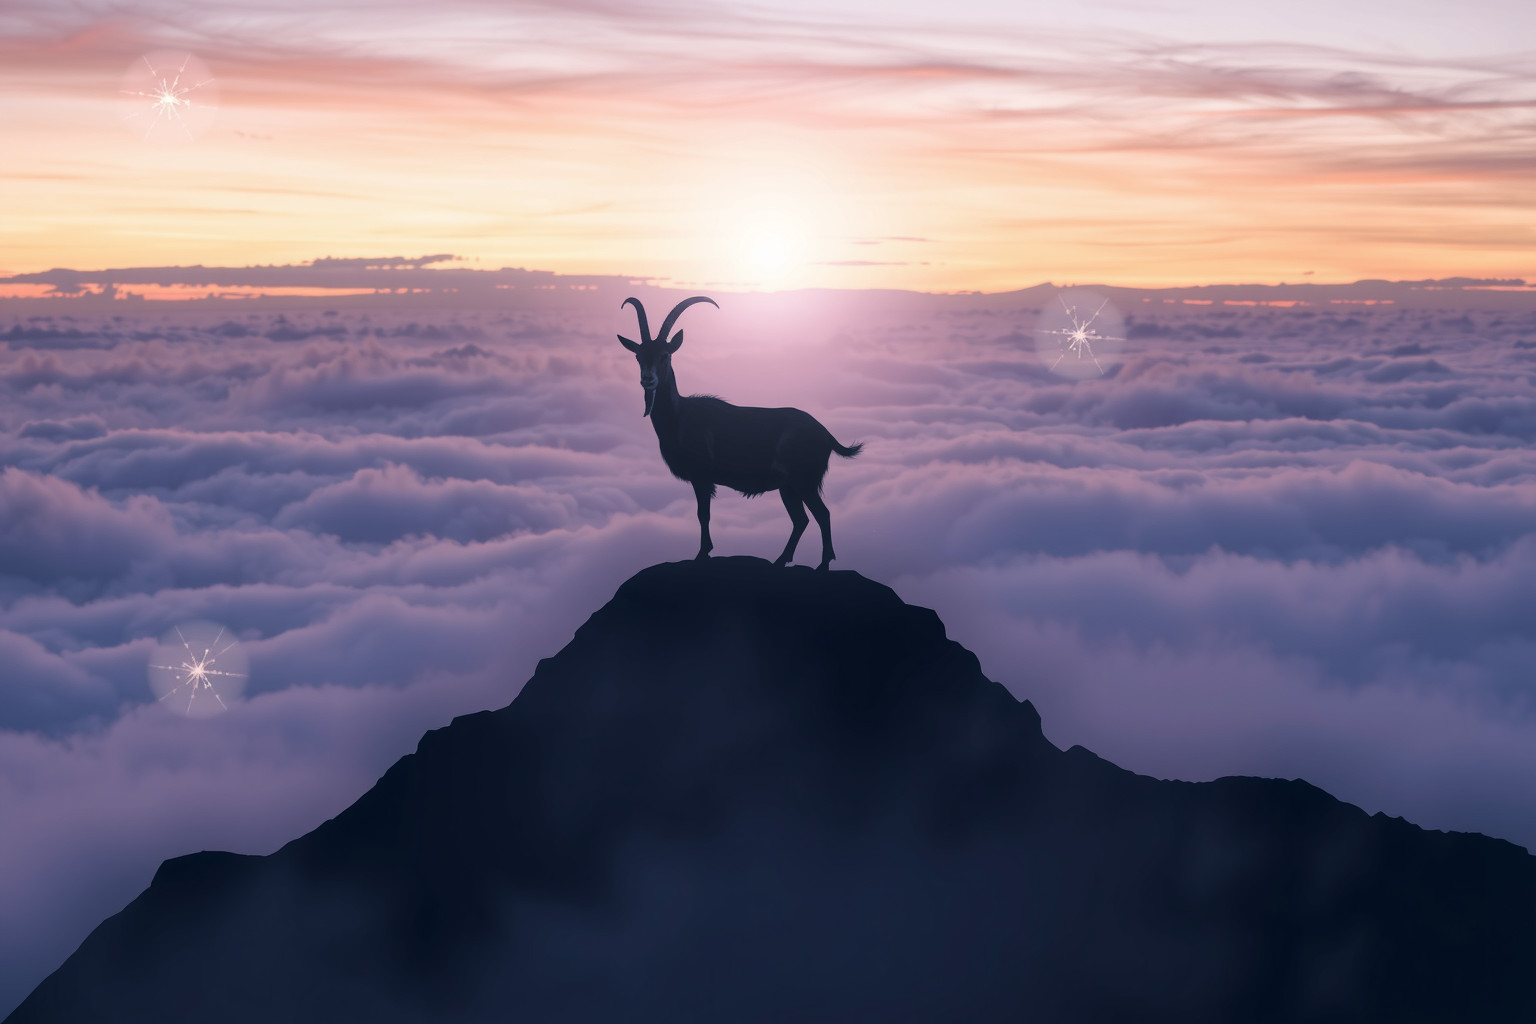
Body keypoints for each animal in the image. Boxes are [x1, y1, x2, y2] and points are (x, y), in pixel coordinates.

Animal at [618, 296, 862, 570]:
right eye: (638, 356)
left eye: (665, 355)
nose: (648, 379)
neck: (680, 416)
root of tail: (826, 434)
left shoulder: (702, 476)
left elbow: (703, 513)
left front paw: (702, 554)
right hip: (789, 486)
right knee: (801, 519)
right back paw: (780, 560)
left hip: (804, 480)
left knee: (822, 514)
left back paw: (822, 564)